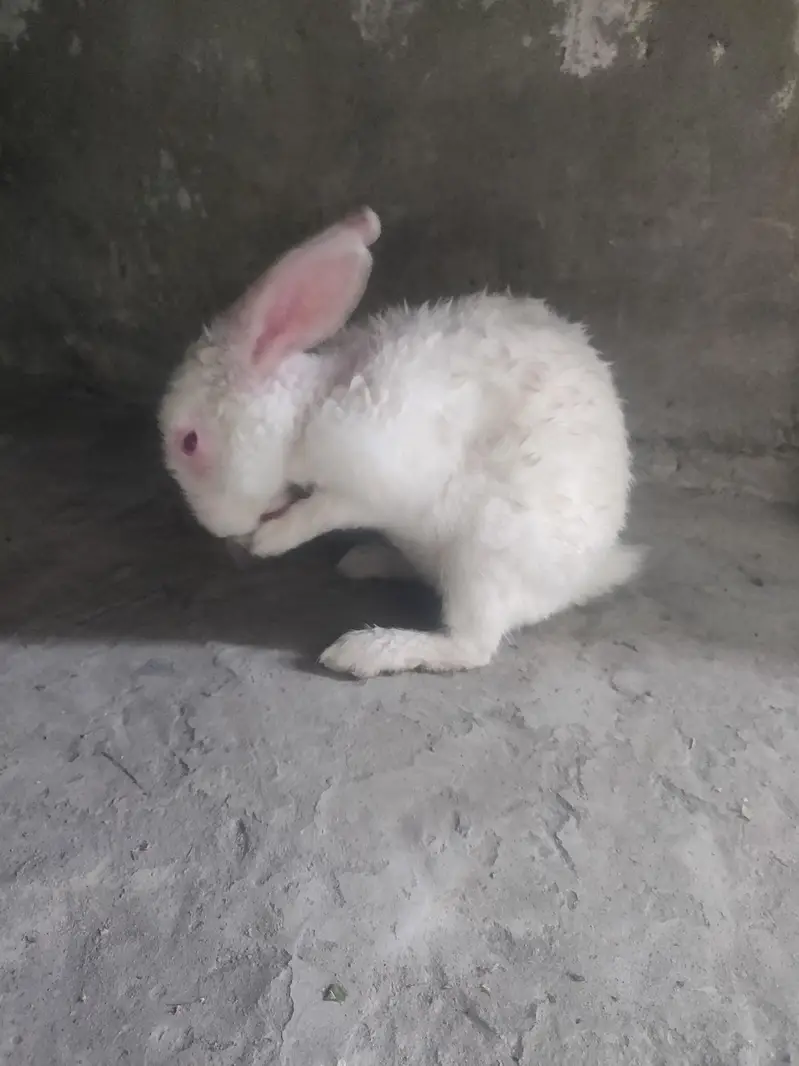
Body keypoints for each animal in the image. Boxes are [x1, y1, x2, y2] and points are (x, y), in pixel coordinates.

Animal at [159, 207, 642, 678]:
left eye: (189, 443)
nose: (219, 529)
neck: (305, 415)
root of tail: (581, 579)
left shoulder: (376, 479)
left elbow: (322, 510)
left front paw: (269, 540)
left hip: (485, 559)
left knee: (470, 646)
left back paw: (365, 650)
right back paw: (366, 560)